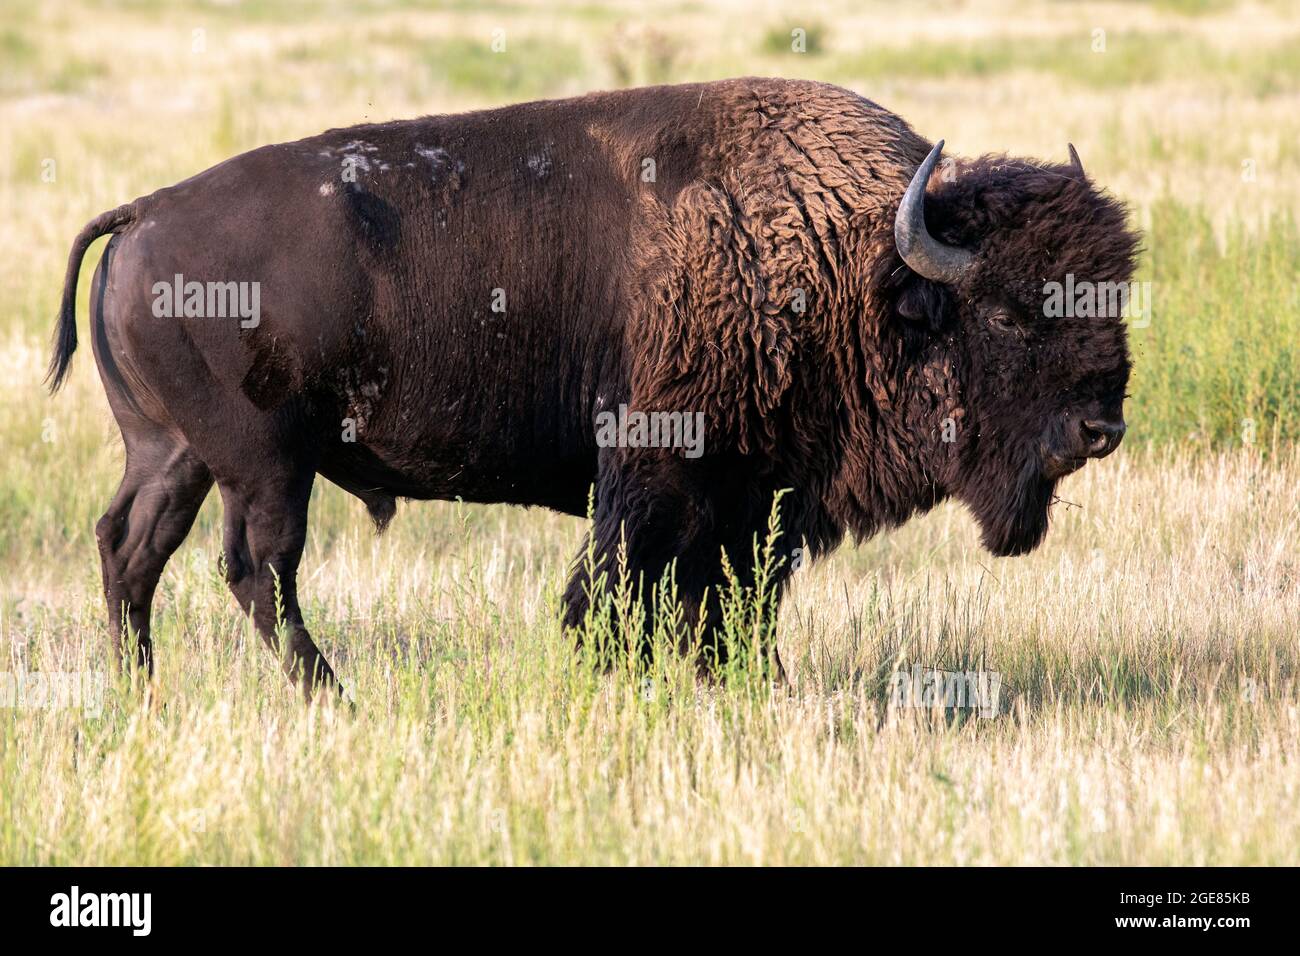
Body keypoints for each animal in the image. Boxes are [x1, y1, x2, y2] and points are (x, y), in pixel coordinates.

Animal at [45, 78, 1133, 697]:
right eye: (1006, 314)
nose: (1100, 426)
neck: (850, 263)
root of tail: (146, 212)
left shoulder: (757, 498)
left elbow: (734, 600)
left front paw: (748, 686)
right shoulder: (659, 474)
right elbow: (619, 587)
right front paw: (606, 676)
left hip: (174, 454)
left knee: (131, 547)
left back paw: (141, 689)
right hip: (267, 464)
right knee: (257, 568)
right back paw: (329, 696)